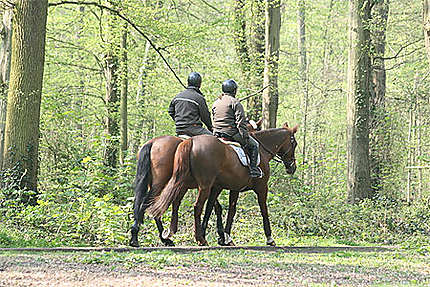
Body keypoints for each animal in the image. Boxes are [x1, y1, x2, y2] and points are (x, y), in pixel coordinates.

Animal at [128, 119, 262, 248]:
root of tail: (153, 142)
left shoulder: (209, 185)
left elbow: (214, 207)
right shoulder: (209, 185)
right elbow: (214, 207)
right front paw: (217, 236)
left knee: (151, 204)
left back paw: (152, 237)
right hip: (160, 184)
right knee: (149, 203)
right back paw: (148, 238)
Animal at [146, 122, 298, 246]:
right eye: (294, 143)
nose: (292, 167)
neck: (261, 149)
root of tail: (191, 141)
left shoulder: (230, 188)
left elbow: (226, 210)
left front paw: (225, 237)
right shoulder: (261, 188)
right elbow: (263, 210)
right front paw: (269, 238)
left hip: (182, 183)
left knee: (169, 202)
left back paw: (171, 234)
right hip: (202, 186)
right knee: (196, 206)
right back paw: (196, 239)